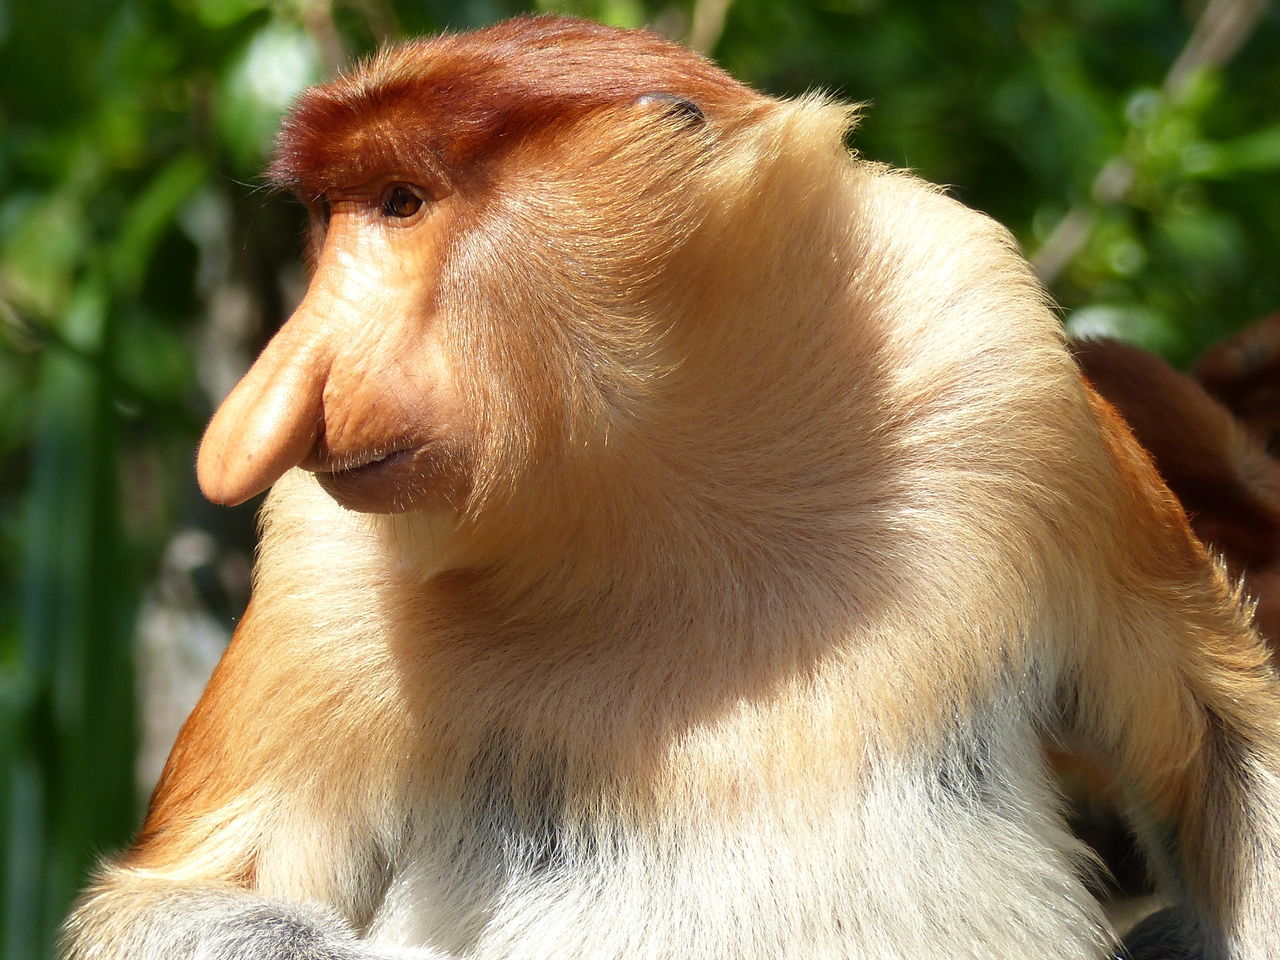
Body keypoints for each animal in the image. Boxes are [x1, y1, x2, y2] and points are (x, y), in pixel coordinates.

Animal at [64, 15, 1280, 960]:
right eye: (331, 219)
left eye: (400, 203)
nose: (258, 416)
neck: (665, 477)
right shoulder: (323, 567)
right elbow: (182, 900)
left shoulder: (1000, 367)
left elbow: (1224, 744)